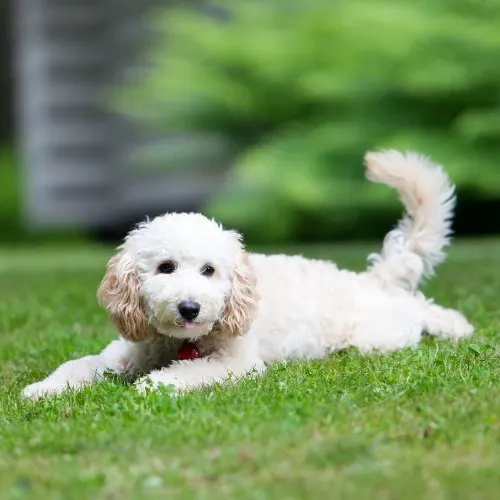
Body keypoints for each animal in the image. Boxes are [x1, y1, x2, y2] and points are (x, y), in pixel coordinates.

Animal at [21, 150, 474, 400]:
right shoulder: (126, 351)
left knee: (417, 310)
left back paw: (455, 326)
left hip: (374, 337)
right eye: (165, 267)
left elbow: (190, 372)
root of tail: (370, 281)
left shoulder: (237, 363)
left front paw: (156, 385)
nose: (189, 308)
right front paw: (43, 389)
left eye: (209, 271)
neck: (182, 343)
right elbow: (79, 365)